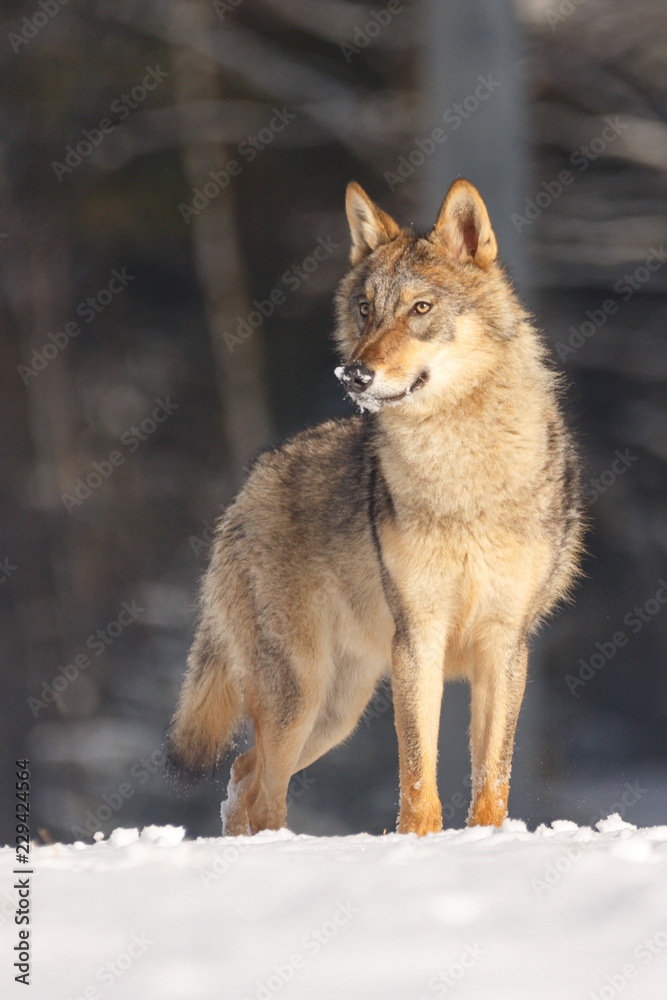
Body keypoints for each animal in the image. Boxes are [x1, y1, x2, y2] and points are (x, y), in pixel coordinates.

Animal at [167, 178, 584, 836]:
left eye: (421, 309)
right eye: (366, 309)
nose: (353, 373)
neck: (461, 476)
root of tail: (248, 486)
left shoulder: (504, 643)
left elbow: (493, 778)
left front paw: (487, 842)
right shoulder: (419, 638)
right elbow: (417, 774)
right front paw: (416, 842)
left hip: (337, 711)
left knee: (242, 771)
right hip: (302, 698)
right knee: (263, 790)